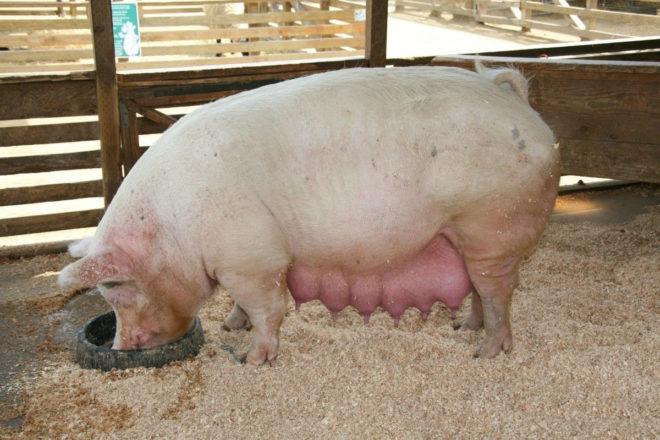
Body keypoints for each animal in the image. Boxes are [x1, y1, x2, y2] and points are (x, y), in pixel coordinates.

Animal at [59, 65, 560, 365]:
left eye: (115, 289)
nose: (122, 346)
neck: (171, 228)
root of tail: (517, 104)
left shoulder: (252, 256)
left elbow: (269, 308)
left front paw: (253, 359)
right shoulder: (243, 262)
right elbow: (245, 305)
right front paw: (230, 325)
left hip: (492, 227)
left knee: (498, 294)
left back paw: (485, 352)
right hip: (468, 238)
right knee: (479, 291)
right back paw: (463, 328)